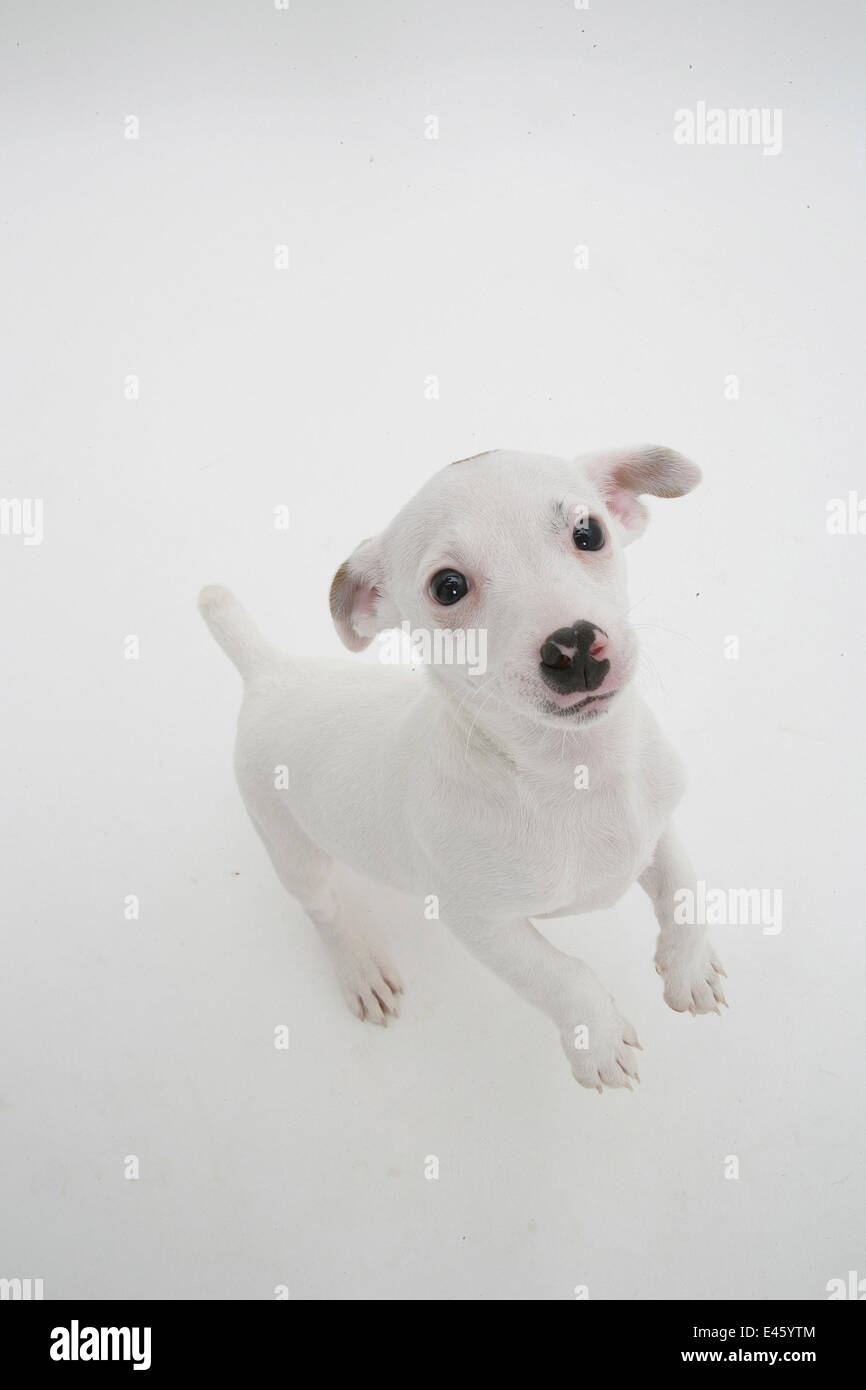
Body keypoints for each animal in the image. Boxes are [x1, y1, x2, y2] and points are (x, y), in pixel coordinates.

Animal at [198, 450, 722, 1089]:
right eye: (448, 587)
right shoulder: (481, 924)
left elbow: (685, 890)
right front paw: (595, 1041)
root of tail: (272, 673)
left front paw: (690, 969)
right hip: (289, 846)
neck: (575, 773)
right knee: (323, 911)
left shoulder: (657, 826)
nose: (573, 645)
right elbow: (562, 977)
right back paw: (360, 968)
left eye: (589, 532)